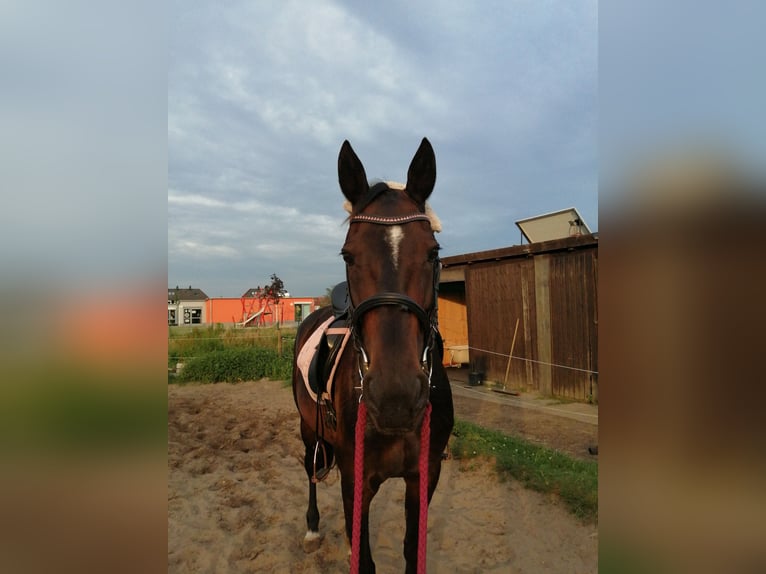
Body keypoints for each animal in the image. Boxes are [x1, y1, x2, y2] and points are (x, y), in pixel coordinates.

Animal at [292, 138, 454, 573]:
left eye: (433, 252)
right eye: (348, 255)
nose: (395, 398)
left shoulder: (424, 477)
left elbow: (412, 551)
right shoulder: (356, 479)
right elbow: (363, 559)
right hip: (308, 428)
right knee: (309, 469)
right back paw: (311, 527)